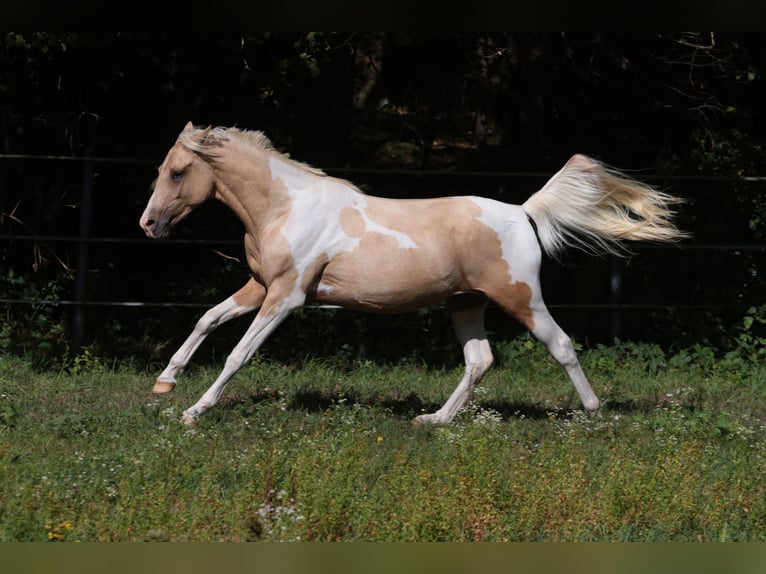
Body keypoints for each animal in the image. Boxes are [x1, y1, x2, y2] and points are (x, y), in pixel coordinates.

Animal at [140, 122, 686, 425]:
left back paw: (595, 414)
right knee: (480, 360)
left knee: (562, 345)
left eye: (178, 172)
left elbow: (238, 353)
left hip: (520, 297)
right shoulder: (260, 286)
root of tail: (523, 212)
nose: (148, 225)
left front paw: (194, 412)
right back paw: (434, 420)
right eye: (163, 169)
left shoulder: (287, 296)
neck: (286, 207)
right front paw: (164, 383)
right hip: (466, 302)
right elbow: (208, 319)